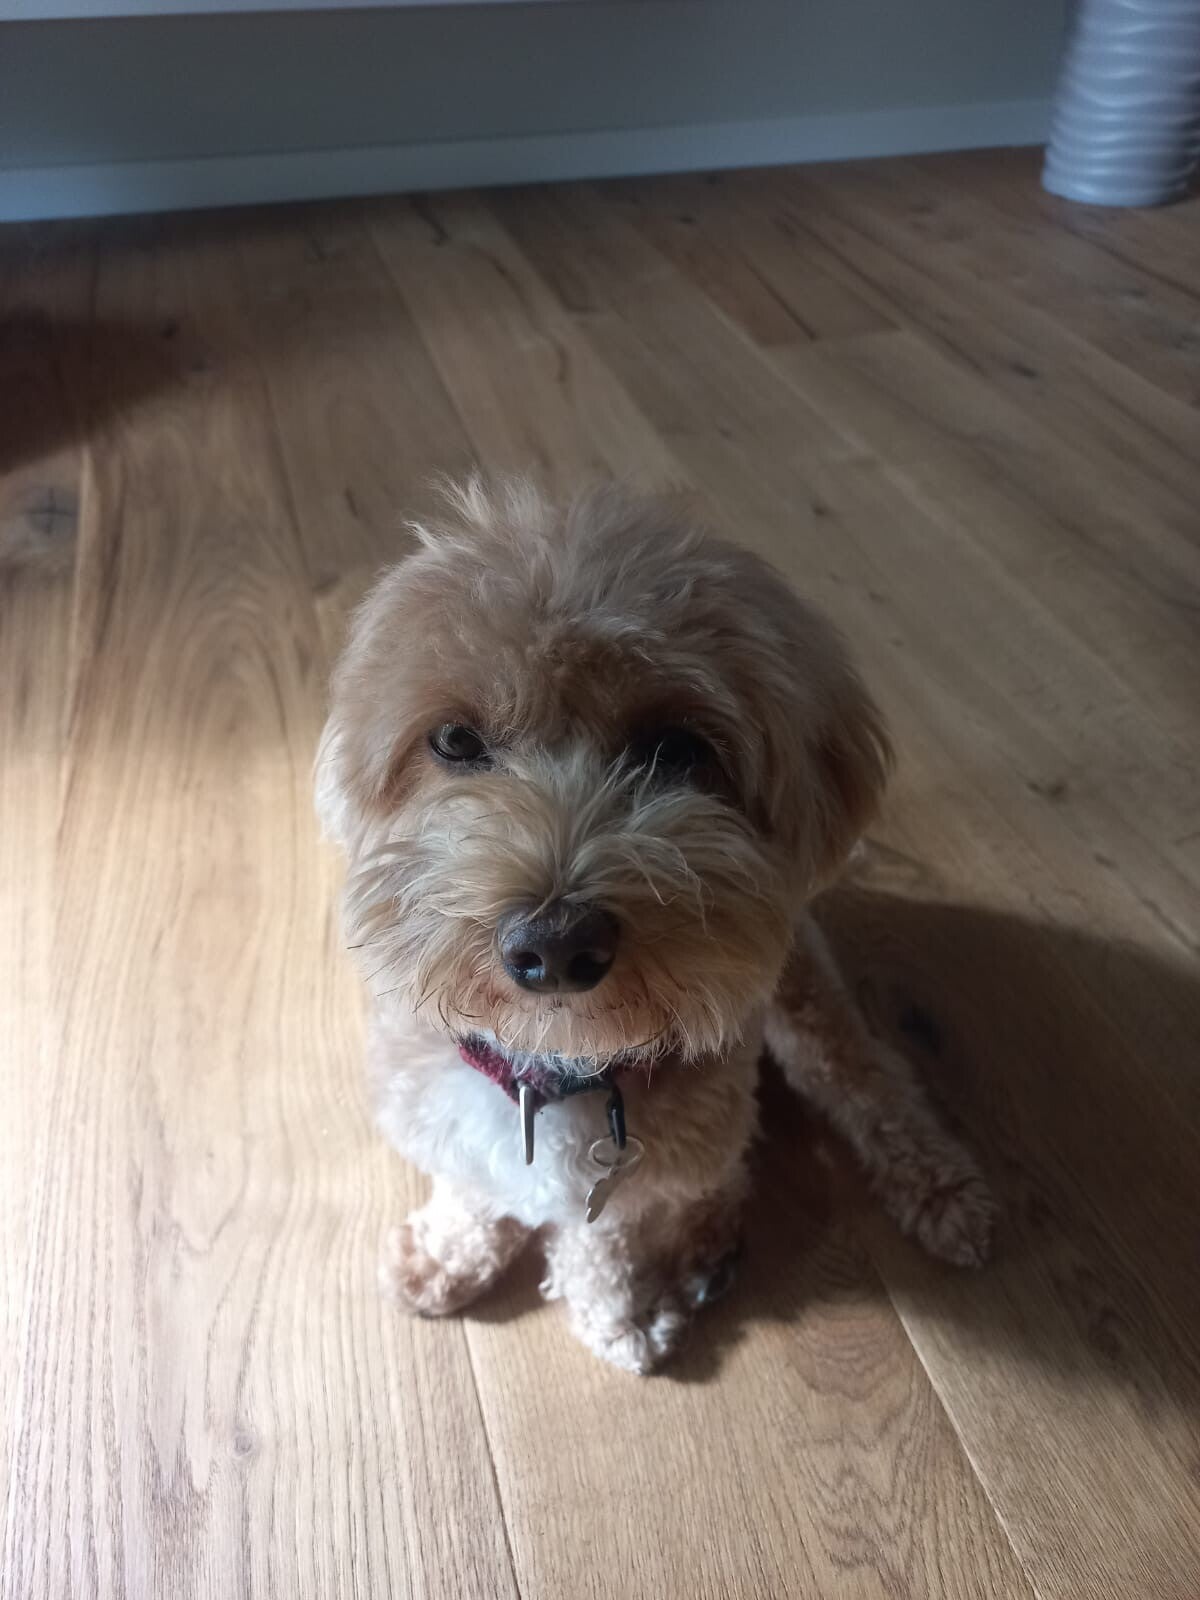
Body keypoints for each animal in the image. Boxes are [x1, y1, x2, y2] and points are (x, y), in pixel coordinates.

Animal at [316, 478, 994, 1374]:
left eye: (675, 749)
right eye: (456, 740)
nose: (555, 945)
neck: (557, 1071)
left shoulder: (632, 1184)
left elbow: (605, 1240)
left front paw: (618, 1314)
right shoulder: (444, 1120)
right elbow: (474, 1187)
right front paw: (449, 1251)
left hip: (802, 1007)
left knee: (864, 1081)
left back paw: (936, 1191)